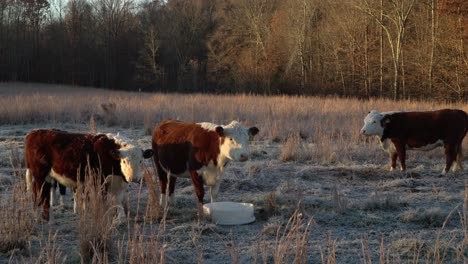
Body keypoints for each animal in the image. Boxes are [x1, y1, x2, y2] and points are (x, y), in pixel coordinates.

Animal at [24, 129, 153, 222]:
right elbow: (104, 202)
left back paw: (43, 217)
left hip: (45, 177)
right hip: (39, 175)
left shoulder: (118, 185)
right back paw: (41, 218)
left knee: (41, 195)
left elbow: (118, 202)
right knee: (39, 195)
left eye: (140, 161)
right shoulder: (100, 183)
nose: (133, 178)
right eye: (124, 161)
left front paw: (119, 220)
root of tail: (34, 133)